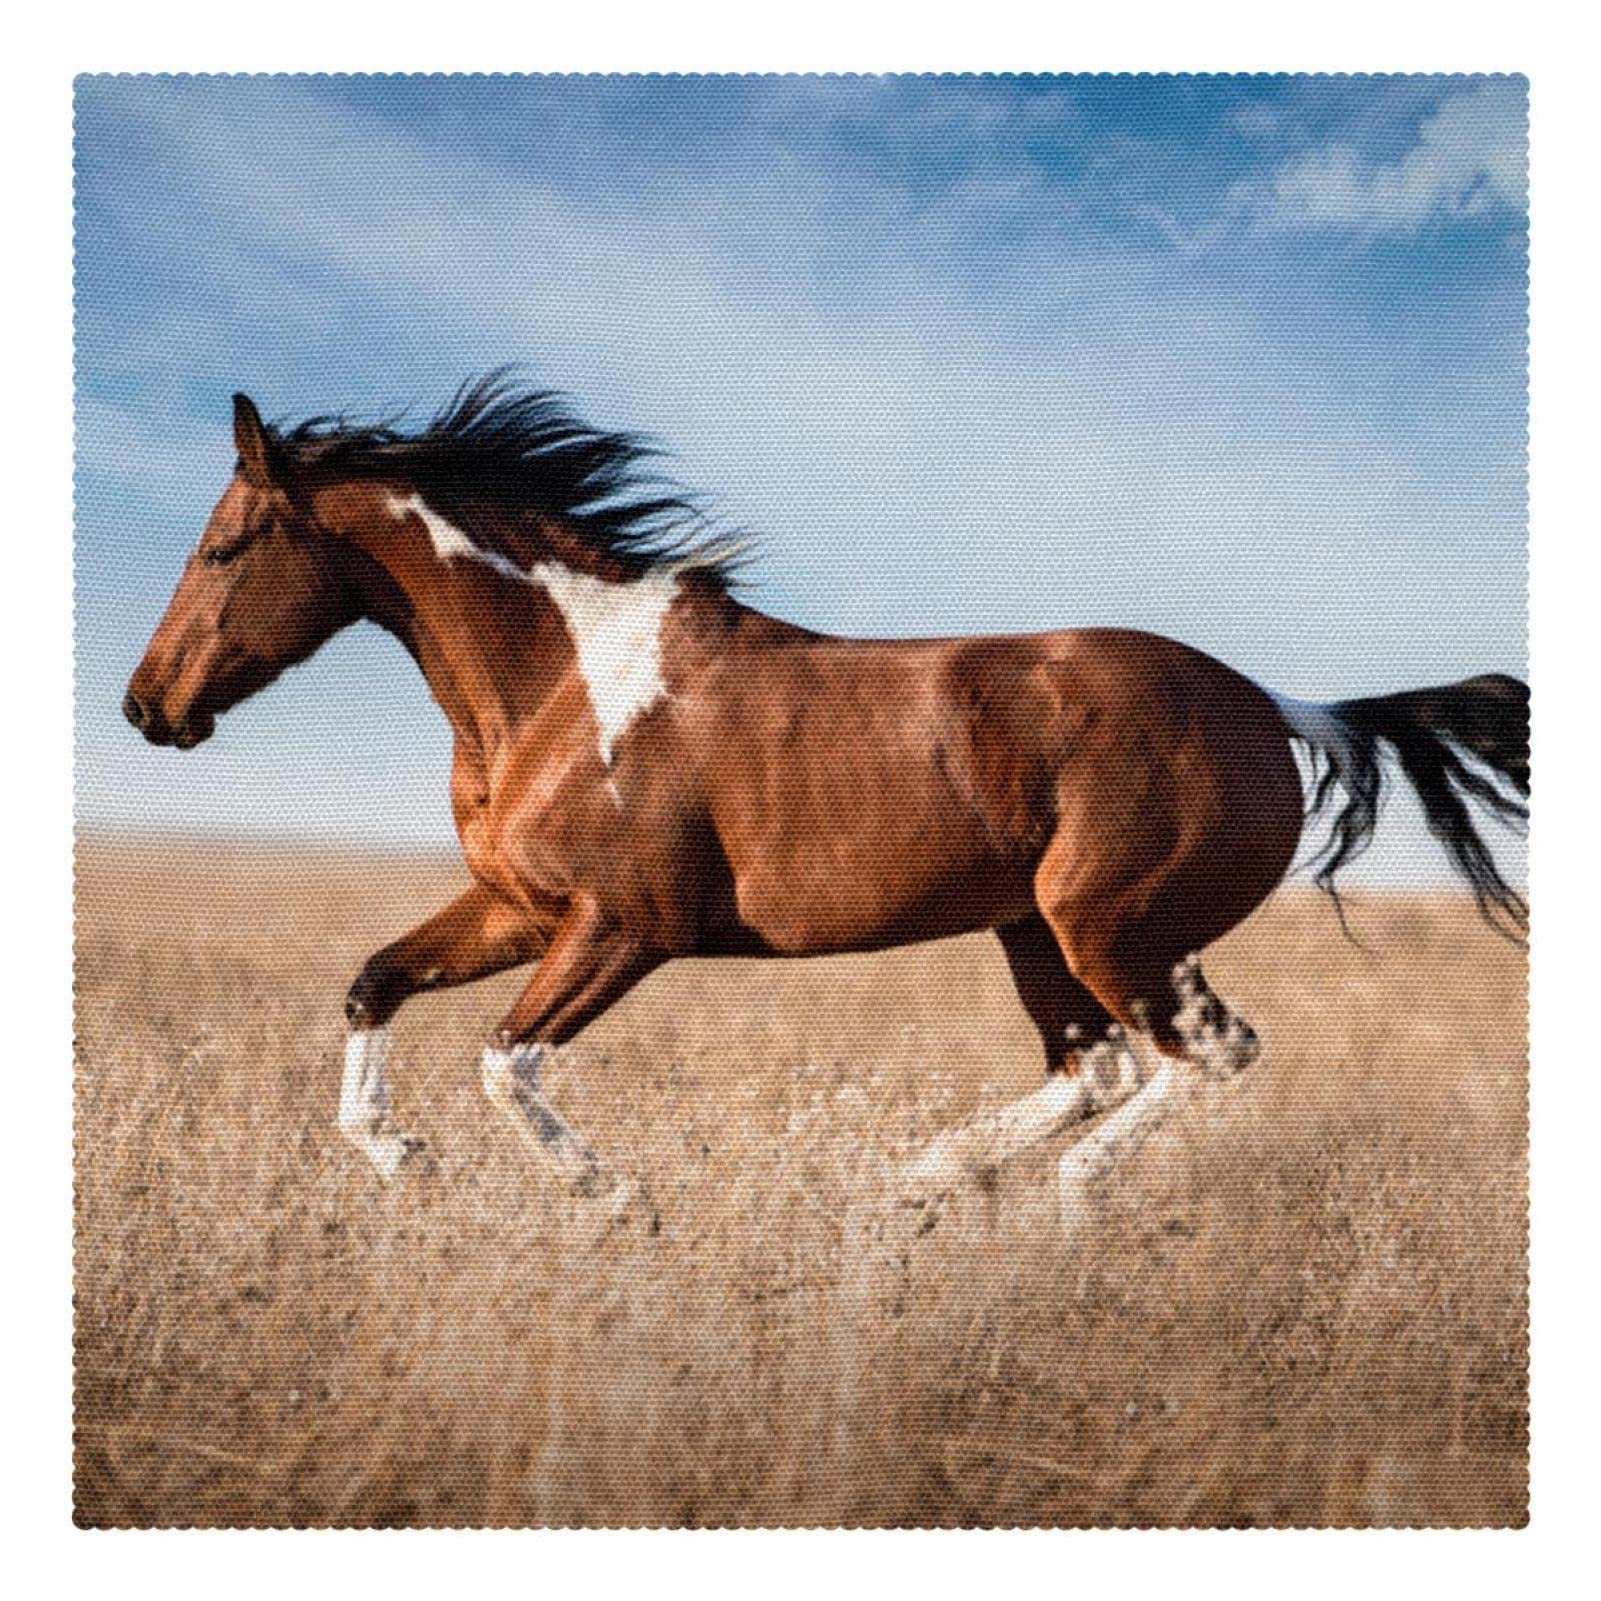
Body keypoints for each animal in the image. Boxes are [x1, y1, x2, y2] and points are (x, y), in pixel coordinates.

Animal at [123, 375, 1529, 1227]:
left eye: (223, 546)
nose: (145, 708)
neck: (563, 679)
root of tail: (1285, 707)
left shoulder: (627, 925)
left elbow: (502, 1060)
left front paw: (618, 1204)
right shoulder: (520, 907)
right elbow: (373, 981)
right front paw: (398, 1158)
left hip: (1110, 923)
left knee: (1202, 1054)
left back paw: (1063, 1202)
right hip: (1033, 927)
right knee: (1095, 1064)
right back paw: (920, 1180)